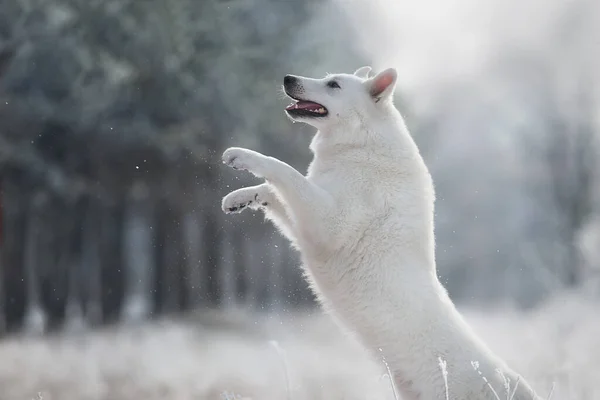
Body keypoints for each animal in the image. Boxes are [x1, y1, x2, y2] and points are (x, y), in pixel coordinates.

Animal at [220, 67, 540, 398]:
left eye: (333, 85)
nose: (287, 78)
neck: (362, 142)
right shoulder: (308, 227)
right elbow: (273, 190)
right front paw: (238, 198)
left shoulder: (328, 224)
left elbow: (285, 172)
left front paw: (244, 156)